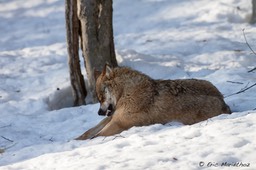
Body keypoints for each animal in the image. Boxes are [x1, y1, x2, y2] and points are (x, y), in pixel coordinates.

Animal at [75, 64, 230, 139]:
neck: (126, 93)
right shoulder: (112, 117)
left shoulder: (119, 122)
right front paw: (75, 140)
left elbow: (95, 136)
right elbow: (88, 133)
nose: (99, 113)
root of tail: (222, 100)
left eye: (101, 97)